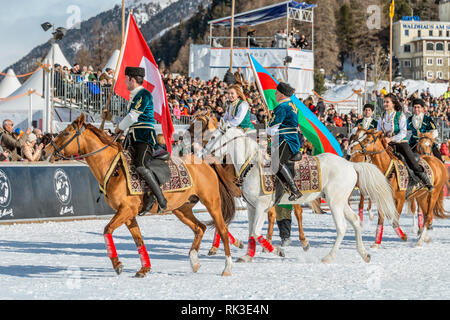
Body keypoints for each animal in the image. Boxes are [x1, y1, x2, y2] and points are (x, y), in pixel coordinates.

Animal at [42, 114, 236, 278]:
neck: (113, 168)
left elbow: (107, 230)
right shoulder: (128, 214)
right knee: (200, 228)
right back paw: (194, 261)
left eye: (66, 133)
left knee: (222, 230)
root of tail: (205, 162)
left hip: (212, 203)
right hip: (181, 209)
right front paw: (144, 268)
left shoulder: (127, 210)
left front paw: (117, 264)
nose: (45, 151)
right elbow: (138, 240)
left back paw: (227, 267)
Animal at [188, 110, 322, 252]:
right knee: (277, 214)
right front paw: (220, 246)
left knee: (297, 212)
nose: (195, 151)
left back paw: (302, 241)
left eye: (212, 137)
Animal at [202, 122, 400, 262]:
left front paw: (279, 251)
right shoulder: (252, 208)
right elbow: (252, 233)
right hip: (341, 202)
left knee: (342, 227)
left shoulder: (260, 207)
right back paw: (364, 253)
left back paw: (329, 257)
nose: (202, 153)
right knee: (356, 221)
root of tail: (350, 164)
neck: (251, 165)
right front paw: (247, 256)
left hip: (334, 203)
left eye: (213, 137)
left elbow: (257, 233)